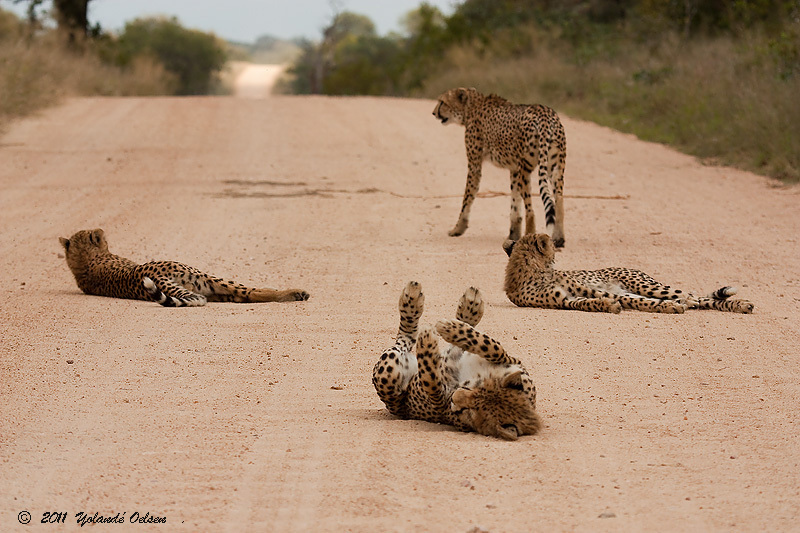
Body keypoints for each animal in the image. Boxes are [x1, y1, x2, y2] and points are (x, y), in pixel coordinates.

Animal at [372, 280, 540, 438]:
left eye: (468, 411)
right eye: (476, 389)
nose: (455, 397)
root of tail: (397, 408)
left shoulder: (441, 407)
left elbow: (431, 382)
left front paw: (428, 343)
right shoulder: (513, 362)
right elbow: (492, 346)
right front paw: (448, 329)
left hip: (388, 374)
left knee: (407, 340)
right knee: (409, 339)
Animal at [432, 86, 568, 246]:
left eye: (442, 102)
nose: (434, 113)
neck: (471, 107)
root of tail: (544, 112)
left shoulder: (474, 165)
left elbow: (467, 198)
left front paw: (457, 229)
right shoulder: (514, 169)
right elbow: (515, 203)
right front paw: (513, 234)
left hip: (526, 169)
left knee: (531, 208)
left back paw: (529, 236)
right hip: (555, 168)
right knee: (559, 201)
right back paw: (559, 238)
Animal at [504, 232, 752, 312]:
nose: (556, 250)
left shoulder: (586, 289)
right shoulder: (565, 300)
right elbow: (590, 302)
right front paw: (608, 306)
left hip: (646, 284)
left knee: (692, 295)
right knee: (701, 300)